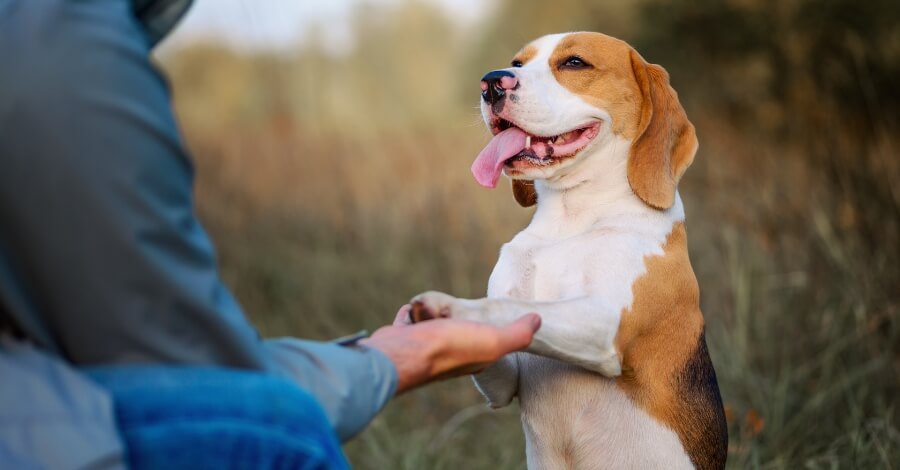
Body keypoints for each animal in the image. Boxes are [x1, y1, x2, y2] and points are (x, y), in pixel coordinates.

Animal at [412, 31, 728, 468]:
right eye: (518, 62)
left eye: (574, 63)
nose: (491, 82)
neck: (571, 218)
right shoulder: (506, 380)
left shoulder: (603, 324)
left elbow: (509, 306)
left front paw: (451, 308)